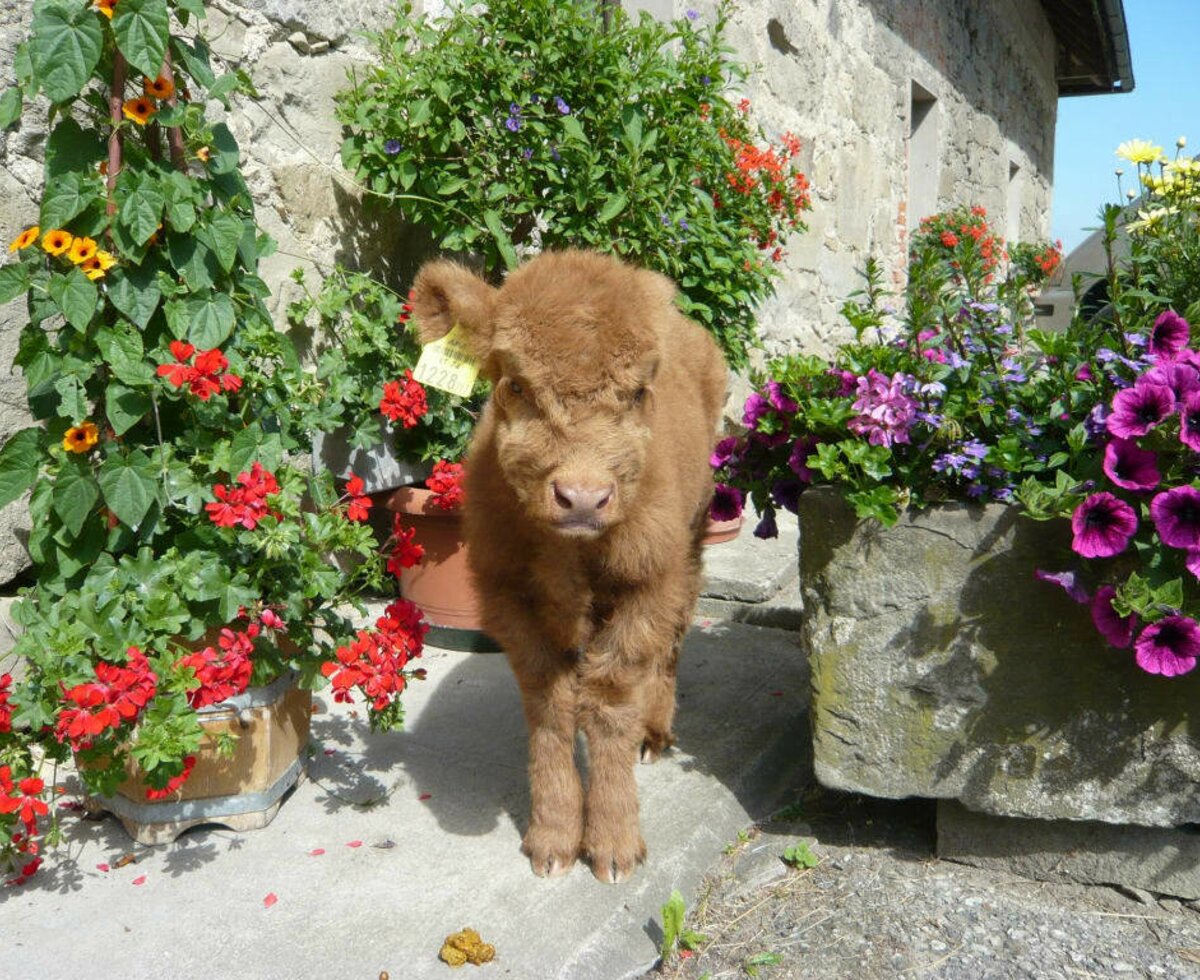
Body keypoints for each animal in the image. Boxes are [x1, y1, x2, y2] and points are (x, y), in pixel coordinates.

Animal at [408, 250, 724, 878]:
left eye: (638, 392)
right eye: (515, 384)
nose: (582, 497)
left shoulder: (647, 583)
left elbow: (609, 701)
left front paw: (612, 840)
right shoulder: (505, 592)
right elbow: (549, 701)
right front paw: (554, 835)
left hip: (692, 539)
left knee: (674, 638)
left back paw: (655, 732)